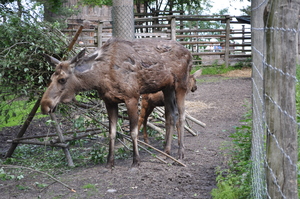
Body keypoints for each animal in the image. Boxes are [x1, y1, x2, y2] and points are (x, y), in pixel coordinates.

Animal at [40, 38, 192, 168]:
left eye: (62, 79)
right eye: (51, 77)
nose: (44, 105)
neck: (98, 79)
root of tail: (190, 54)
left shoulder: (132, 97)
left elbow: (133, 132)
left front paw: (136, 161)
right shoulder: (109, 101)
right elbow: (112, 133)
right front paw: (109, 162)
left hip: (181, 85)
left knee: (181, 116)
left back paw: (180, 154)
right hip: (167, 87)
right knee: (170, 116)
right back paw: (166, 152)